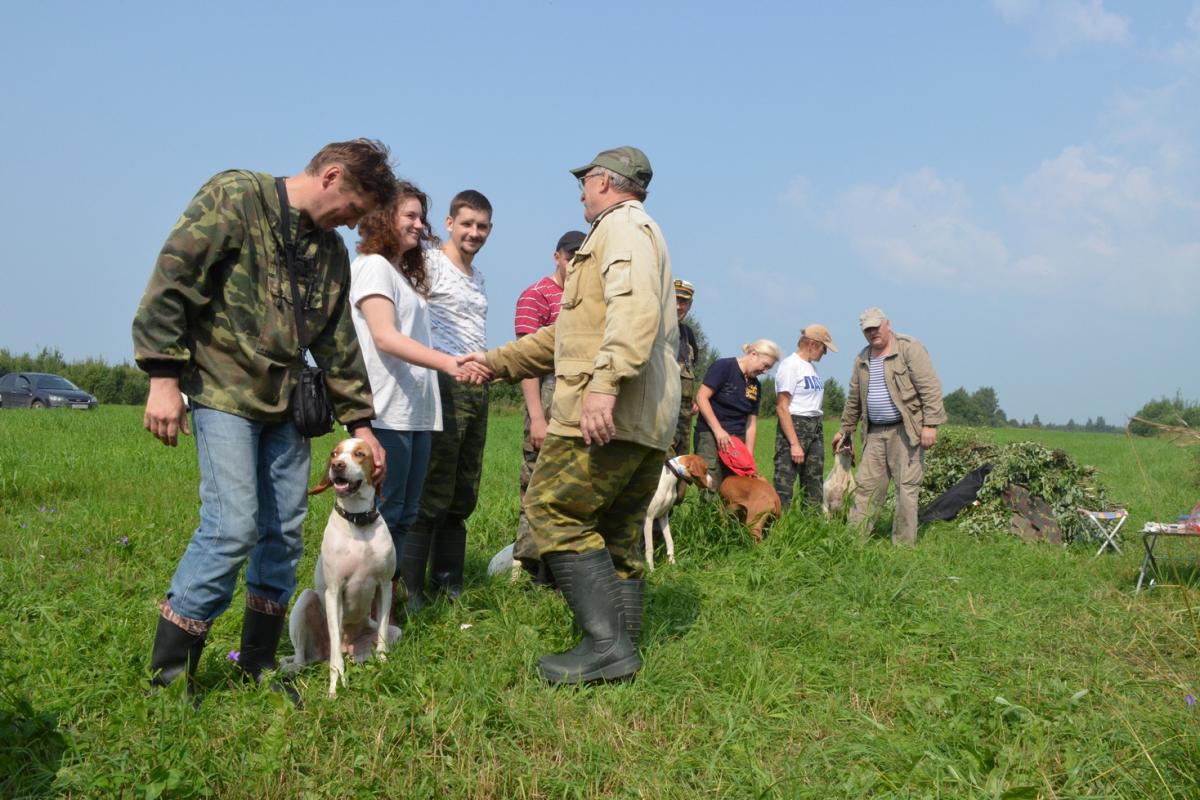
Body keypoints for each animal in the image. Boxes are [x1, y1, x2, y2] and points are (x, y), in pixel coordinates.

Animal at [281, 438, 400, 698]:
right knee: (307, 657)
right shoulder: (334, 592)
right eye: (334, 453)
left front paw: (384, 667)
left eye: (359, 454)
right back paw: (292, 669)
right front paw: (336, 685)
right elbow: (336, 651)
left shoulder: (385, 586)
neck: (358, 522)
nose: (337, 465)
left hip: (390, 633)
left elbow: (382, 637)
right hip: (305, 601)